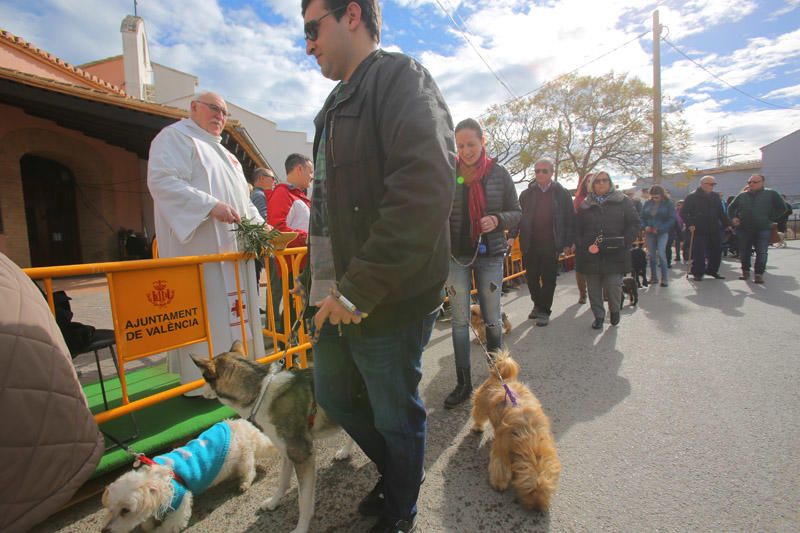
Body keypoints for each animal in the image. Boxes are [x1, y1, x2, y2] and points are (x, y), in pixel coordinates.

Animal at [101, 418, 276, 528]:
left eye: (125, 511)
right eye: (110, 509)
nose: (105, 530)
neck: (154, 479)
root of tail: (244, 424)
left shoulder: (180, 502)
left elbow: (169, 525)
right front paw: (147, 525)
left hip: (244, 458)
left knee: (250, 471)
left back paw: (244, 483)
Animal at [191, 340, 354, 532]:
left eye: (204, 377)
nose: (200, 393)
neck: (260, 393)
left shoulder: (302, 456)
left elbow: (303, 500)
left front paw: (301, 527)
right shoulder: (286, 451)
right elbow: (282, 481)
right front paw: (273, 502)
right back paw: (345, 451)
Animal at [472, 350, 560, 512]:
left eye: (546, 491)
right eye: (530, 490)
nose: (537, 509)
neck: (532, 439)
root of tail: (500, 377)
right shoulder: (502, 447)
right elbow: (500, 465)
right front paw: (499, 483)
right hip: (481, 403)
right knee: (478, 414)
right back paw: (478, 426)